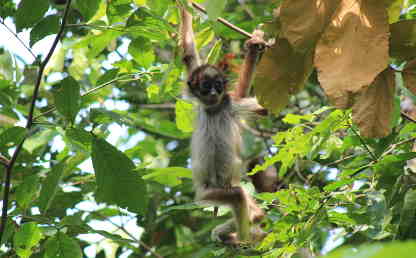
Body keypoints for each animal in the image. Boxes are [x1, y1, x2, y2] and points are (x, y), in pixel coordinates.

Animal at [179, 1, 266, 245]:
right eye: (205, 86)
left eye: (218, 85)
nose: (213, 93)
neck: (214, 109)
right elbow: (188, 53)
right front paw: (184, 6)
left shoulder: (230, 104)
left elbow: (265, 108)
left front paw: (254, 47)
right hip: (207, 192)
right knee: (240, 198)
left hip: (226, 186)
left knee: (240, 198)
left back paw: (242, 239)